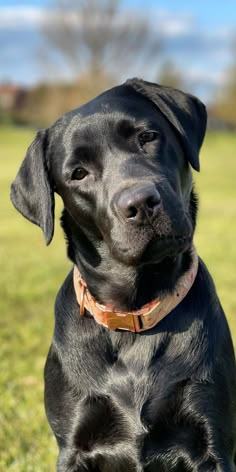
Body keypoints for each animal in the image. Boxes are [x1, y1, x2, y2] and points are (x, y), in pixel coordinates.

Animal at [10, 79, 235, 470]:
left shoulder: (212, 443)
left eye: (148, 136)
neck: (134, 313)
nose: (140, 202)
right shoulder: (74, 446)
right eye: (78, 173)